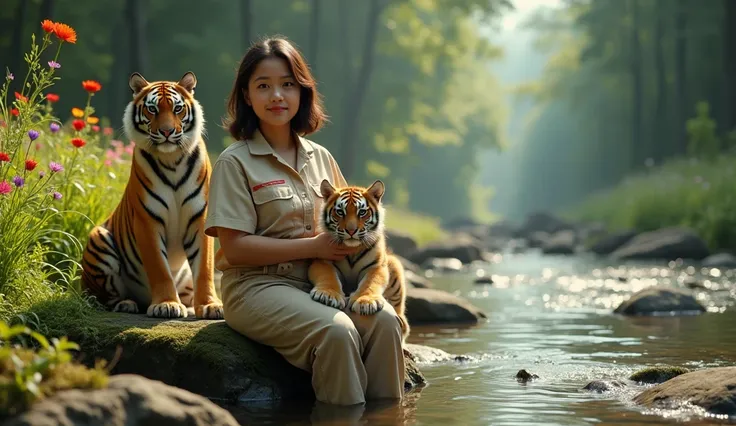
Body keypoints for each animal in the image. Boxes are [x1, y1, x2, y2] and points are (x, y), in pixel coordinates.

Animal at [80, 71, 223, 318]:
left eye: (177, 109)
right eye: (153, 109)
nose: (166, 132)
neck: (172, 159)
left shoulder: (200, 218)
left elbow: (204, 268)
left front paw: (210, 305)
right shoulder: (147, 220)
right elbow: (159, 268)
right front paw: (167, 304)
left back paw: (188, 306)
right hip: (99, 239)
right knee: (103, 297)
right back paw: (126, 303)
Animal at [304, 180, 408, 342]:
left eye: (362, 212)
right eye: (340, 212)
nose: (351, 231)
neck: (352, 250)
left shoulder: (377, 266)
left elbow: (370, 282)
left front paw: (366, 302)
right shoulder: (322, 261)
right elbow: (328, 276)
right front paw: (328, 295)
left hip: (394, 264)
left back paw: (401, 322)